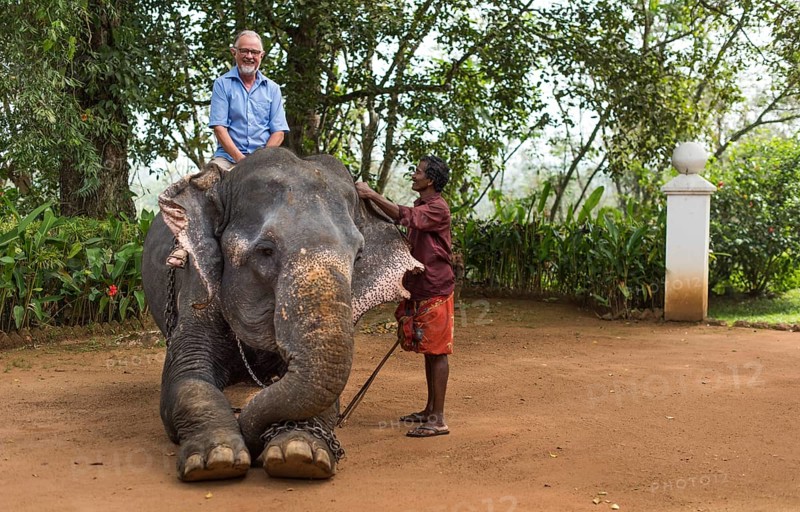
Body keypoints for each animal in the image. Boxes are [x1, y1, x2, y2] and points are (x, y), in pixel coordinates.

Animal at [141, 147, 422, 481]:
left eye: (358, 255)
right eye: (266, 251)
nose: (252, 443)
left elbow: (326, 396)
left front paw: (299, 455)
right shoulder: (197, 286)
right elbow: (186, 376)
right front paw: (215, 459)